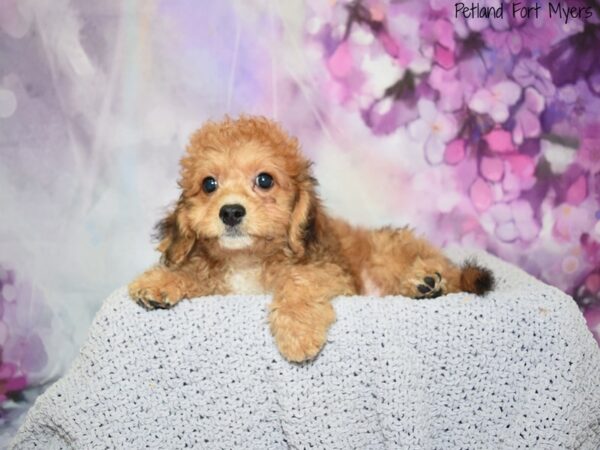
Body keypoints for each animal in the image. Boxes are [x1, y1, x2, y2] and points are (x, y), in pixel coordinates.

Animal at [129, 115, 494, 362]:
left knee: (449, 274)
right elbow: (196, 272)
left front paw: (297, 333)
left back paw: (426, 280)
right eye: (209, 184)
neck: (247, 260)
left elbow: (298, 281)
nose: (231, 212)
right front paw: (160, 280)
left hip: (388, 253)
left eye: (264, 180)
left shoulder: (329, 272)